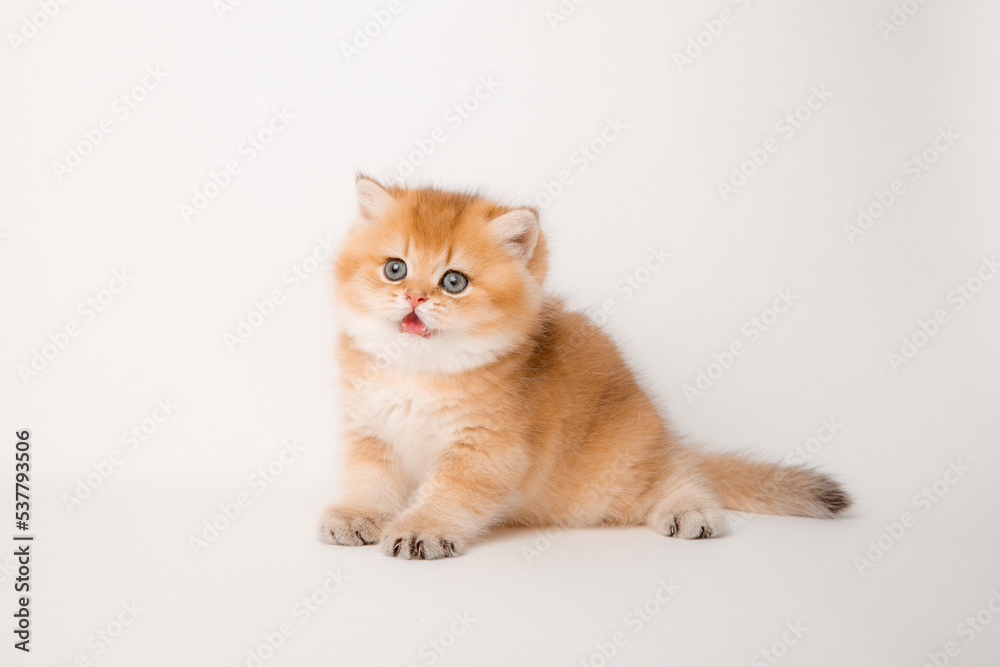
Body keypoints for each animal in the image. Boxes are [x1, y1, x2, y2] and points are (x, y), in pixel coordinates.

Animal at [322, 176, 852, 560]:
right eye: (395, 269)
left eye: (454, 281)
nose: (414, 297)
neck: (417, 373)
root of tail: (662, 436)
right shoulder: (371, 433)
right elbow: (370, 482)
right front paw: (357, 516)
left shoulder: (487, 450)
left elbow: (448, 493)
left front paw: (421, 529)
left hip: (613, 473)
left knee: (680, 474)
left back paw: (691, 511)